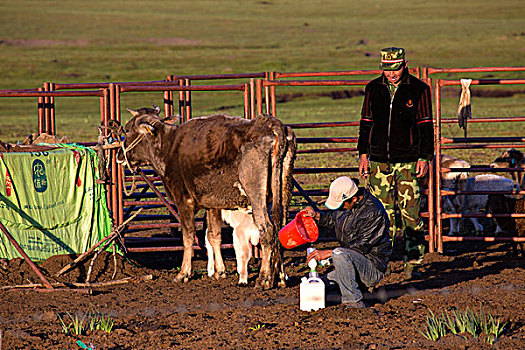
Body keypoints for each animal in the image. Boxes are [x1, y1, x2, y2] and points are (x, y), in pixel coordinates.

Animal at [118, 108, 296, 288]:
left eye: (128, 130)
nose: (119, 155)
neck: (169, 148)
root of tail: (269, 124)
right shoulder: (213, 205)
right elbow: (214, 235)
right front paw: (220, 271)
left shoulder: (184, 201)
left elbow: (188, 237)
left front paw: (183, 273)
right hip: (283, 191)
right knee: (280, 229)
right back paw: (280, 276)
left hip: (256, 195)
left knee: (267, 230)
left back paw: (264, 278)